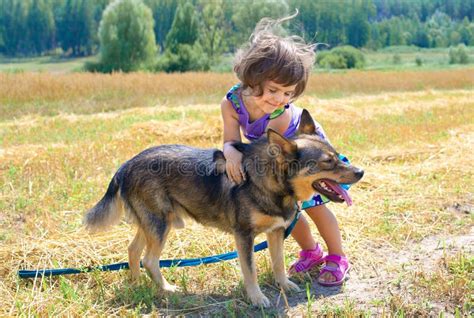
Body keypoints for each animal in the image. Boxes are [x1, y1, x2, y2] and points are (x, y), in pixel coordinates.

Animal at [84, 109, 362, 306]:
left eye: (336, 155)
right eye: (327, 162)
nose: (361, 172)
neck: (268, 182)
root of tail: (125, 166)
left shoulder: (275, 232)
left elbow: (278, 263)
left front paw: (284, 285)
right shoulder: (244, 236)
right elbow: (250, 271)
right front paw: (257, 298)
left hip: (154, 222)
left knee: (133, 251)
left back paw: (136, 284)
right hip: (160, 224)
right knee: (149, 259)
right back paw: (166, 289)